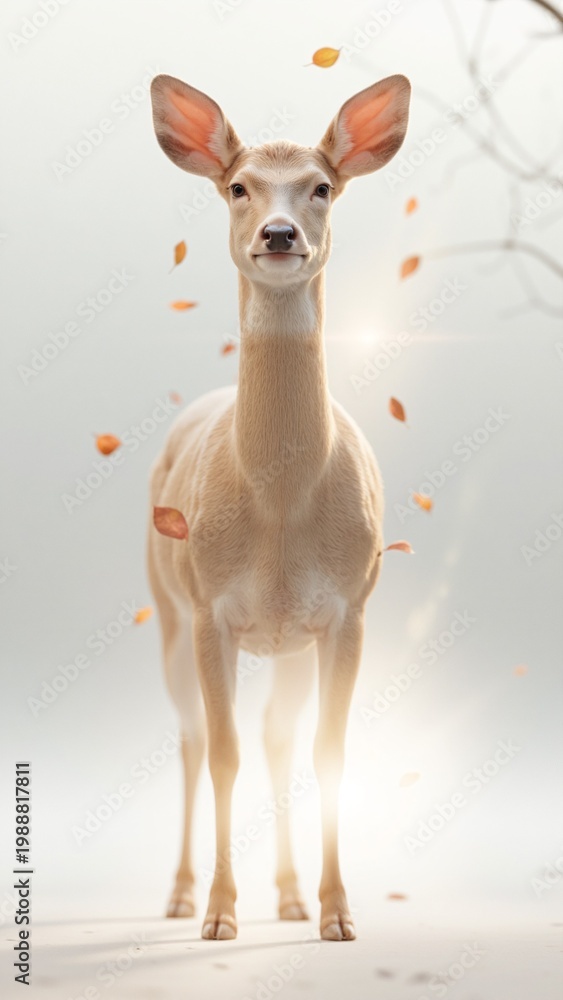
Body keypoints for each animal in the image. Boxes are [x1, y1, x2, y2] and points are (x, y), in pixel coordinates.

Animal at [148, 72, 411, 942]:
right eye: (237, 185)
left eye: (322, 185)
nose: (278, 232)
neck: (279, 515)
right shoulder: (209, 609)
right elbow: (220, 752)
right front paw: (219, 917)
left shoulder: (348, 608)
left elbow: (326, 752)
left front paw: (336, 915)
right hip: (166, 606)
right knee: (193, 739)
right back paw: (179, 895)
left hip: (289, 643)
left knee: (276, 738)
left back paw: (291, 896)